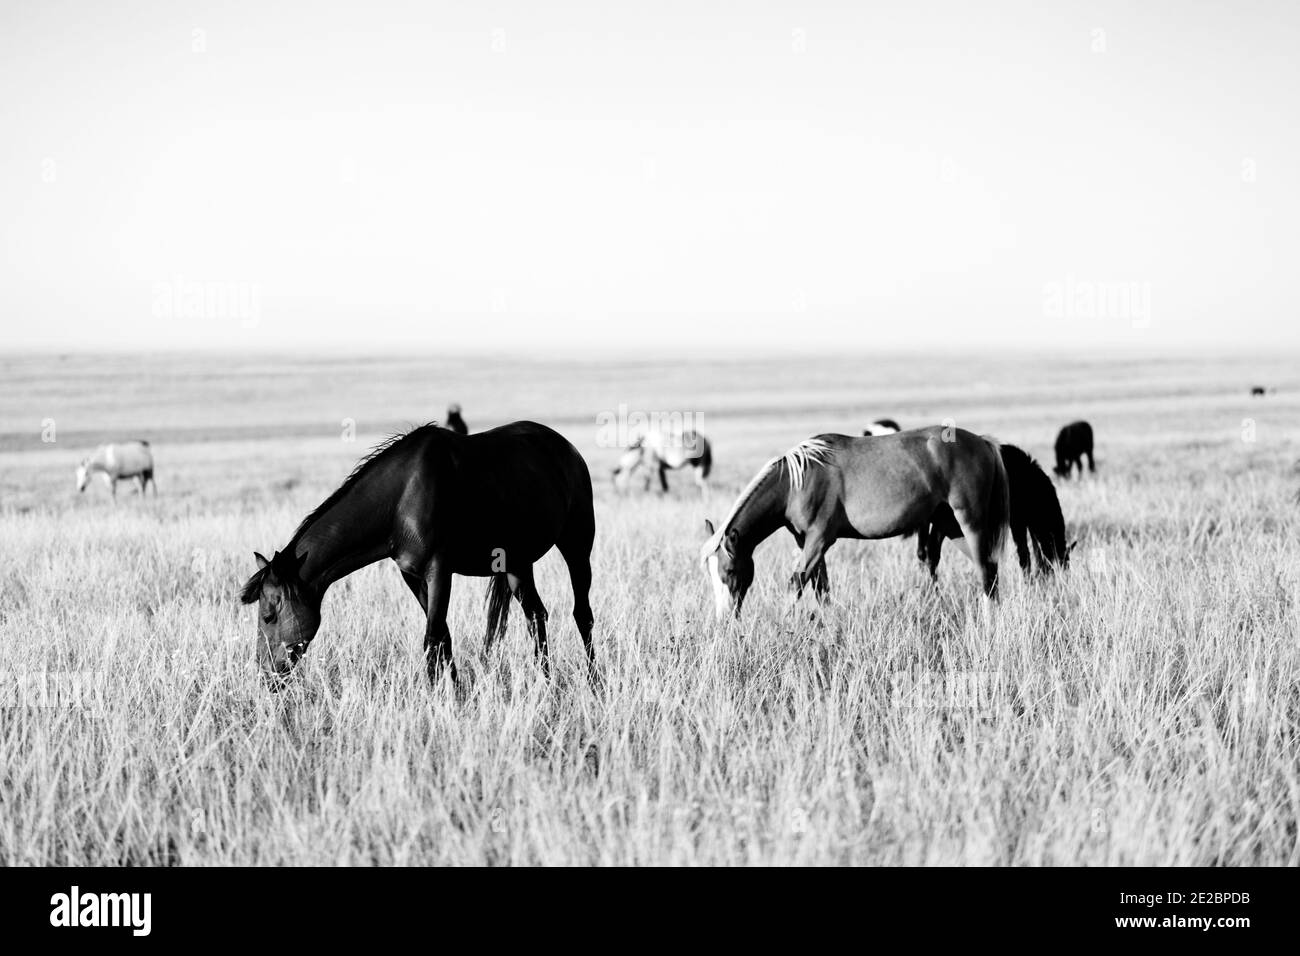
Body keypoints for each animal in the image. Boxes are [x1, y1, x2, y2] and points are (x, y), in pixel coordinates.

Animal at [239, 421, 595, 686]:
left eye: (268, 616)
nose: (265, 674)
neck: (400, 500)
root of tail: (566, 448)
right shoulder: (412, 575)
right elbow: (444, 638)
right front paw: (455, 696)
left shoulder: (440, 571)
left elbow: (432, 639)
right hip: (517, 565)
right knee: (536, 617)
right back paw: (547, 682)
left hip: (577, 546)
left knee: (582, 614)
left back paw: (594, 682)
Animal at [702, 429, 1013, 621]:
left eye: (730, 571)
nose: (724, 618)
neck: (797, 482)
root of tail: (982, 442)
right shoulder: (807, 542)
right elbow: (821, 588)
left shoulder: (820, 539)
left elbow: (797, 583)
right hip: (951, 526)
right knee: (988, 570)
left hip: (969, 521)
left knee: (986, 572)